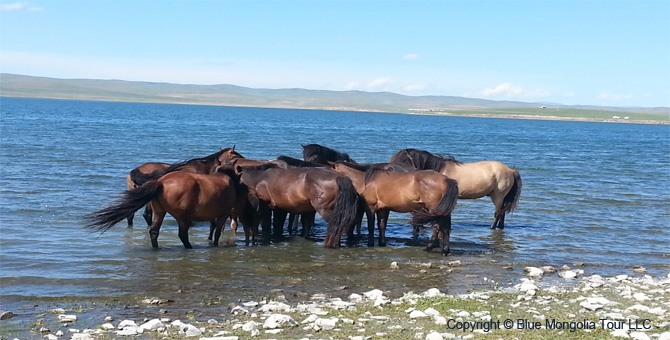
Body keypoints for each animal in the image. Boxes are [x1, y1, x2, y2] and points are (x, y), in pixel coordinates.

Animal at [85, 168, 251, 250]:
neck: (228, 181)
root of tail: (161, 183)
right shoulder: (223, 213)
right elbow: (216, 231)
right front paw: (215, 244)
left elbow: (213, 228)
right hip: (182, 218)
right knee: (182, 234)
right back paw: (189, 247)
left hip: (160, 212)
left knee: (154, 231)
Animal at [332, 162, 460, 255]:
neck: (366, 181)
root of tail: (445, 179)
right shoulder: (383, 209)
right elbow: (381, 225)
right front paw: (382, 243)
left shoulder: (370, 208)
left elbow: (371, 227)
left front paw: (370, 243)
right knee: (444, 227)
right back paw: (442, 249)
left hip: (433, 208)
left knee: (439, 226)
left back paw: (435, 248)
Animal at [388, 148, 524, 230]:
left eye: (403, 159)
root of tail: (510, 170)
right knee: (502, 213)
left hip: (498, 196)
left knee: (498, 213)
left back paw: (492, 227)